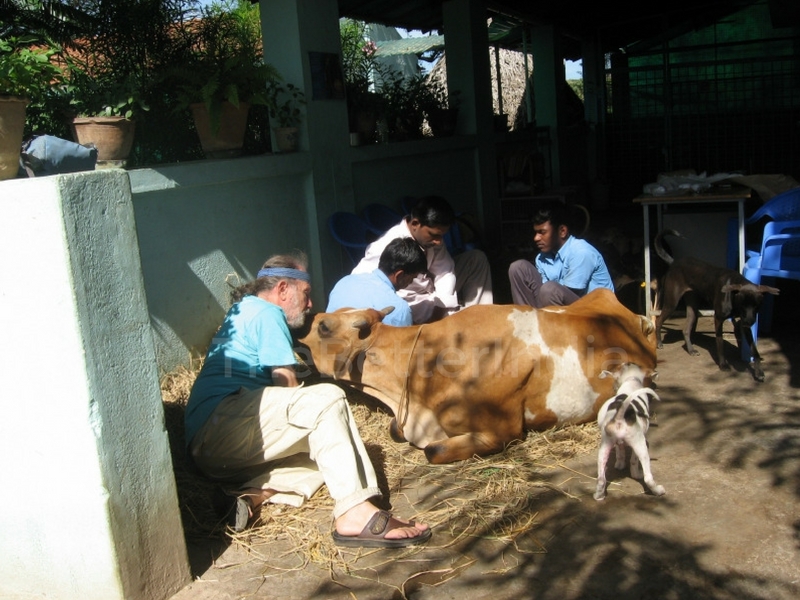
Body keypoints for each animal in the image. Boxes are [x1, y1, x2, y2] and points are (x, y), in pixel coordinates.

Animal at [592, 364, 664, 500]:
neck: (630, 382)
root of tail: (620, 416)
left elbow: (620, 452)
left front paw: (619, 464)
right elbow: (633, 460)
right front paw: (635, 473)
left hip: (604, 447)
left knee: (601, 479)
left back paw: (598, 496)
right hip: (640, 445)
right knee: (648, 478)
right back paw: (658, 491)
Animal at [652, 229, 780, 380]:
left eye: (756, 306)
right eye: (743, 305)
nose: (749, 321)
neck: (733, 292)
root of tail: (674, 262)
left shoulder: (745, 323)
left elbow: (754, 349)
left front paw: (759, 371)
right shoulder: (718, 319)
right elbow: (720, 343)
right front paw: (723, 364)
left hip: (693, 307)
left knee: (686, 329)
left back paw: (691, 350)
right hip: (672, 302)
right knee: (659, 320)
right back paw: (659, 343)